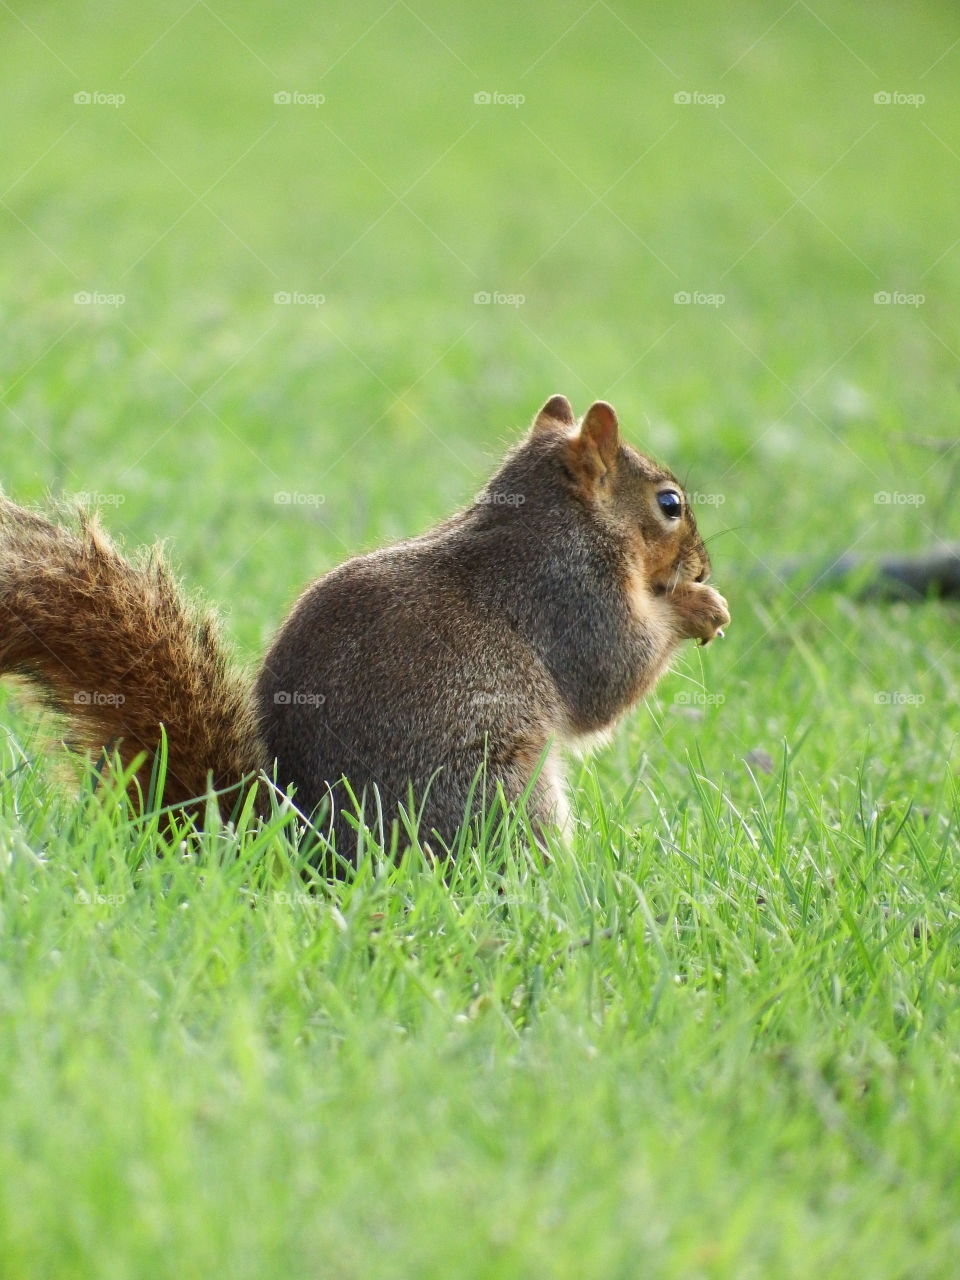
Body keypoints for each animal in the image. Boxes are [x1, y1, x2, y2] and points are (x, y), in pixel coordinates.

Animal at [0, 395, 729, 856]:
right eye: (670, 504)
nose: (703, 562)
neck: (553, 521)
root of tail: (307, 855)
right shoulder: (568, 594)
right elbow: (611, 674)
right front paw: (699, 606)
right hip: (500, 794)